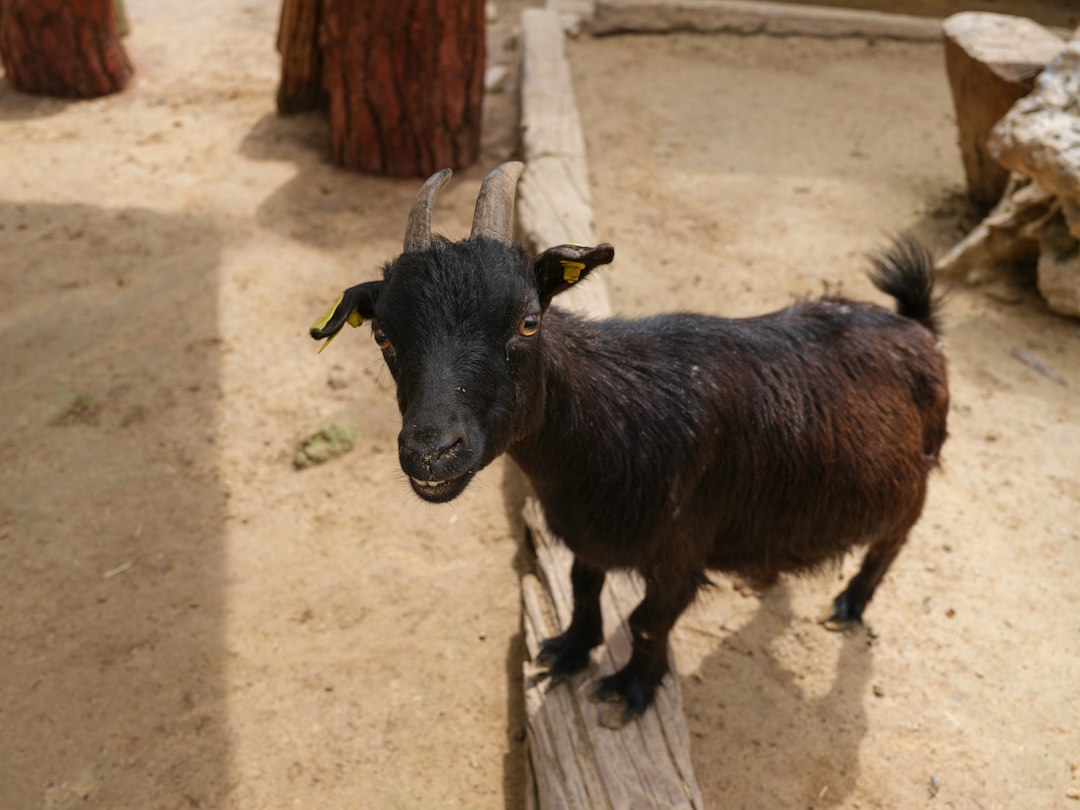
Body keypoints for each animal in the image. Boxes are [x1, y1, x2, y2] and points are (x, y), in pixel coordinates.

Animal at [311, 162, 949, 727]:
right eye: (382, 333)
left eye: (528, 321)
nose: (431, 452)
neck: (608, 428)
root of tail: (917, 327)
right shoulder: (587, 531)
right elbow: (582, 587)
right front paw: (569, 650)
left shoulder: (682, 550)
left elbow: (648, 621)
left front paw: (630, 690)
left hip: (916, 481)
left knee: (893, 540)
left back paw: (851, 603)